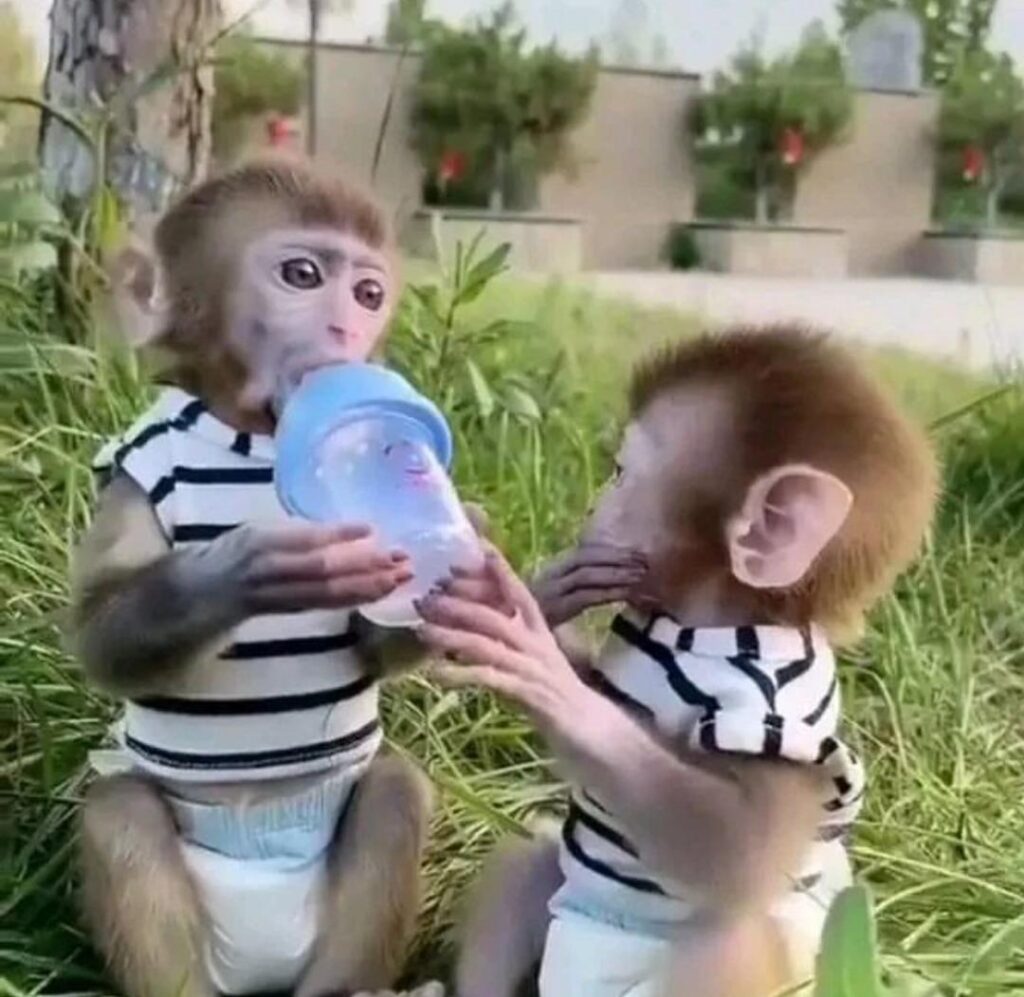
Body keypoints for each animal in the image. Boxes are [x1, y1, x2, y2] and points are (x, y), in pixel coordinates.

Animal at [68, 157, 459, 997]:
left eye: (368, 293)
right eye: (302, 275)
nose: (346, 330)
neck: (252, 435)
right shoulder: (133, 469)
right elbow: (102, 631)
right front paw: (246, 568)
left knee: (394, 790)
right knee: (119, 812)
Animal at [414, 326, 938, 997]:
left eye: (619, 473)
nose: (593, 510)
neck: (704, 621)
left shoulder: (776, 706)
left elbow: (741, 851)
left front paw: (538, 663)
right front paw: (546, 596)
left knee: (735, 940)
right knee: (527, 861)